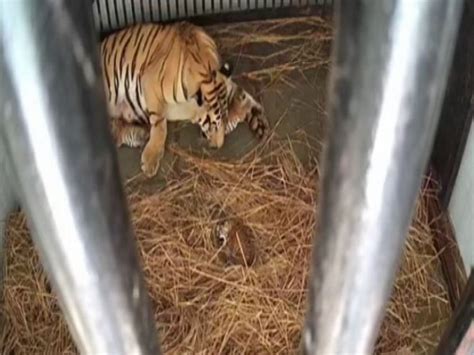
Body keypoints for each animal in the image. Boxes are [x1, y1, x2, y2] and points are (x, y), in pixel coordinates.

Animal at [99, 20, 266, 177]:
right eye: (211, 124)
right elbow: (160, 124)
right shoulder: (150, 84)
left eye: (223, 123)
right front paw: (151, 159)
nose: (216, 147)